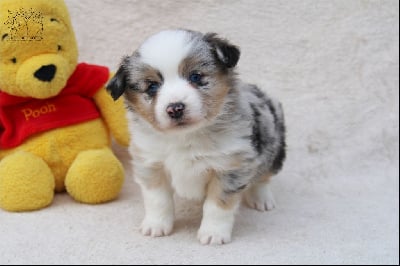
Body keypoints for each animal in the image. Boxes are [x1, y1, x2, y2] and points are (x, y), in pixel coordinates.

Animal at [108, 29, 286, 245]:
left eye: (195, 76)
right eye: (152, 86)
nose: (175, 108)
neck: (185, 137)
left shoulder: (230, 168)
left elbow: (217, 206)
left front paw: (213, 233)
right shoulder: (151, 165)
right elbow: (158, 200)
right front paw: (156, 225)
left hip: (273, 150)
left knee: (263, 177)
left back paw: (262, 199)